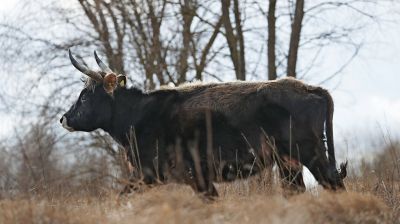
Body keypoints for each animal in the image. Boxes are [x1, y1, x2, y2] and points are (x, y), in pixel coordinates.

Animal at [61, 49, 346, 198]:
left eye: (85, 96)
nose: (64, 118)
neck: (139, 116)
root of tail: (308, 87)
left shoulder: (153, 173)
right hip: (289, 162)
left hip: (310, 152)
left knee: (334, 183)